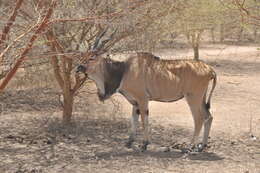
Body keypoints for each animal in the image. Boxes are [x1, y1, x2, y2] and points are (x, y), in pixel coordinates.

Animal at [76, 30, 216, 152]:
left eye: (92, 57)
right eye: (82, 56)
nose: (79, 67)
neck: (123, 70)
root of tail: (209, 69)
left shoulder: (142, 99)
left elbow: (144, 121)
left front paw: (144, 144)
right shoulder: (135, 102)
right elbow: (134, 120)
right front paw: (129, 142)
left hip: (193, 98)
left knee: (199, 119)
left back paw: (189, 146)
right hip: (201, 99)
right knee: (208, 117)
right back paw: (202, 146)